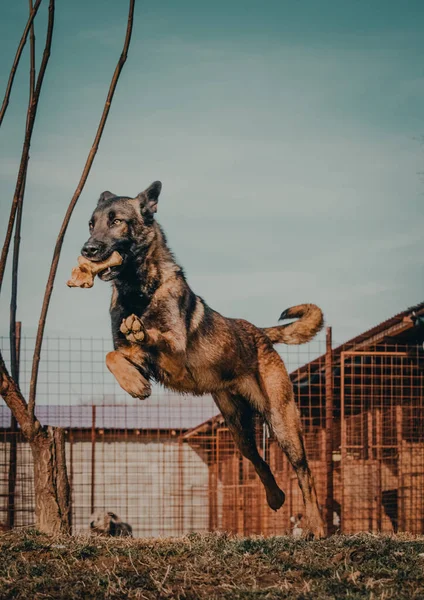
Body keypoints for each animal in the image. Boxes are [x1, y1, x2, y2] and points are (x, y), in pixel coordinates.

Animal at [79, 180, 324, 536]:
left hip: (282, 423)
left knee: (305, 474)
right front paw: (134, 382)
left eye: (117, 221)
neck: (137, 290)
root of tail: (260, 333)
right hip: (239, 430)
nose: (88, 249)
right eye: (91, 223)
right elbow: (113, 355)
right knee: (258, 459)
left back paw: (316, 525)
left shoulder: (175, 350)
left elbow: (155, 336)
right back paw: (276, 497)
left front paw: (141, 336)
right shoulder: (134, 356)